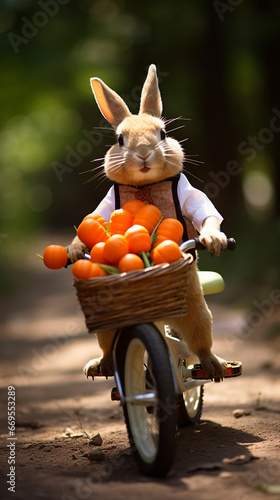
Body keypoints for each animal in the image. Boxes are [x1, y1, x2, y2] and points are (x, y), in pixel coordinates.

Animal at [66, 65, 229, 378]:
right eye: (120, 139)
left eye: (163, 134)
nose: (143, 153)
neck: (145, 186)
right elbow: (91, 223)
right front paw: (75, 249)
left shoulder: (189, 194)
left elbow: (206, 213)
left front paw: (214, 239)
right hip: (108, 325)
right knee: (108, 348)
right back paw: (100, 366)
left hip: (197, 313)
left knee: (200, 343)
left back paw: (214, 365)